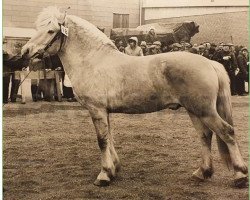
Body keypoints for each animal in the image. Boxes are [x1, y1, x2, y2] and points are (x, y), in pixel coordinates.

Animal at [22, 6, 248, 188]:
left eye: (51, 31)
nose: (25, 51)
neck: (94, 60)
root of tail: (210, 62)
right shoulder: (104, 111)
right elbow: (110, 137)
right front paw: (114, 169)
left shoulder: (96, 109)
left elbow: (102, 140)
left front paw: (104, 175)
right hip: (195, 111)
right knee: (205, 136)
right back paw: (202, 173)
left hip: (205, 111)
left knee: (227, 132)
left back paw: (240, 175)